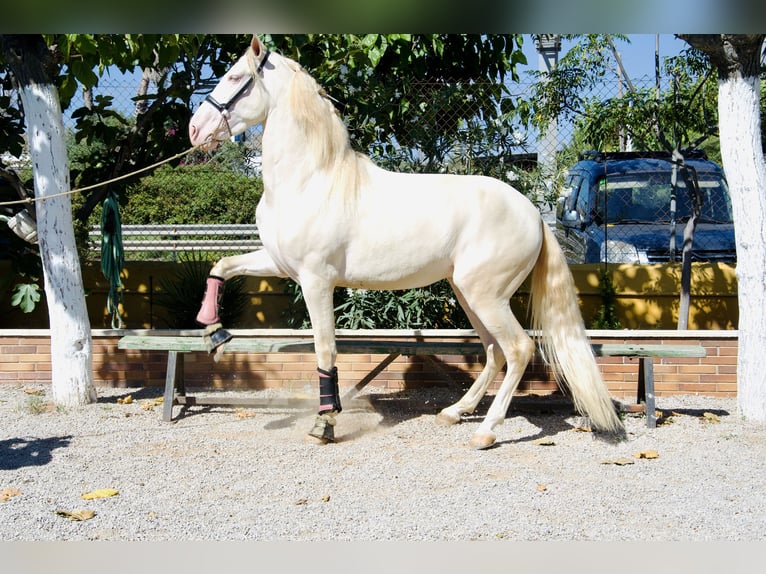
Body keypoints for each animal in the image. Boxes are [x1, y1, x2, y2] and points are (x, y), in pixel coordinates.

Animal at [190, 36, 624, 452]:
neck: (313, 180)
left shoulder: (316, 281)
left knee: (517, 349)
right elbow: (222, 265)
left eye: (234, 77)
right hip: (469, 294)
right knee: (494, 351)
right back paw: (454, 412)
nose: (195, 129)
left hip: (485, 296)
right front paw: (213, 331)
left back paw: (485, 432)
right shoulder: (280, 264)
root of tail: (532, 212)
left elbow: (326, 350)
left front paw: (324, 425)